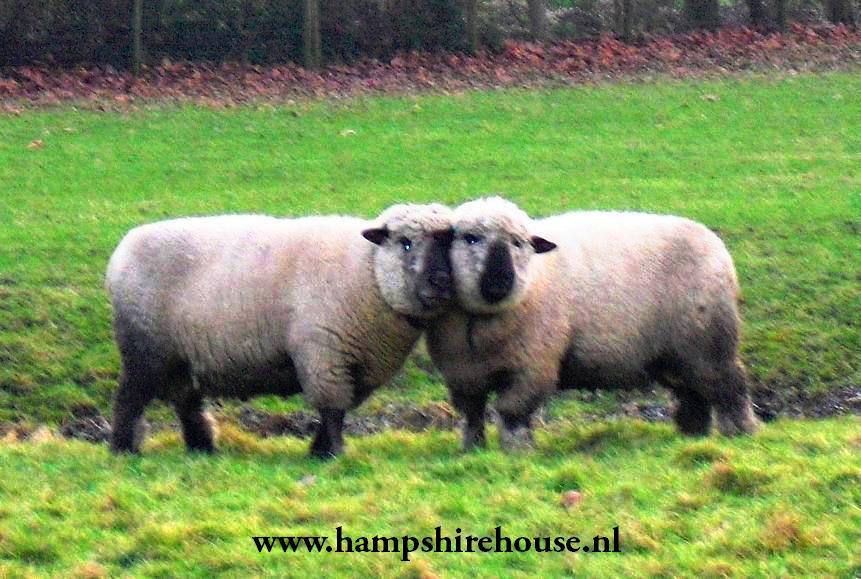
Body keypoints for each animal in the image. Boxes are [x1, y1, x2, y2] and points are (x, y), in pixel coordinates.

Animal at [105, 204, 454, 458]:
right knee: (130, 398)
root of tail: (121, 251)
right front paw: (332, 453)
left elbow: (339, 410)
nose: (442, 283)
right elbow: (332, 409)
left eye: (450, 244)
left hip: (179, 356)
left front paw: (320, 450)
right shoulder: (323, 353)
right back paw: (123, 450)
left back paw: (202, 448)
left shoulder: (358, 364)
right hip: (144, 349)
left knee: (185, 400)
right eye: (405, 243)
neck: (368, 272)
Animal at [425, 197, 759, 451]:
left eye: (518, 243)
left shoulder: (533, 366)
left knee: (730, 385)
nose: (499, 283)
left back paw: (740, 431)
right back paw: (692, 434)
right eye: (470, 238)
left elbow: (512, 411)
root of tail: (716, 244)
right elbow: (472, 414)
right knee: (693, 392)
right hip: (675, 354)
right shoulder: (462, 373)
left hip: (709, 342)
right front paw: (472, 449)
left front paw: (517, 450)